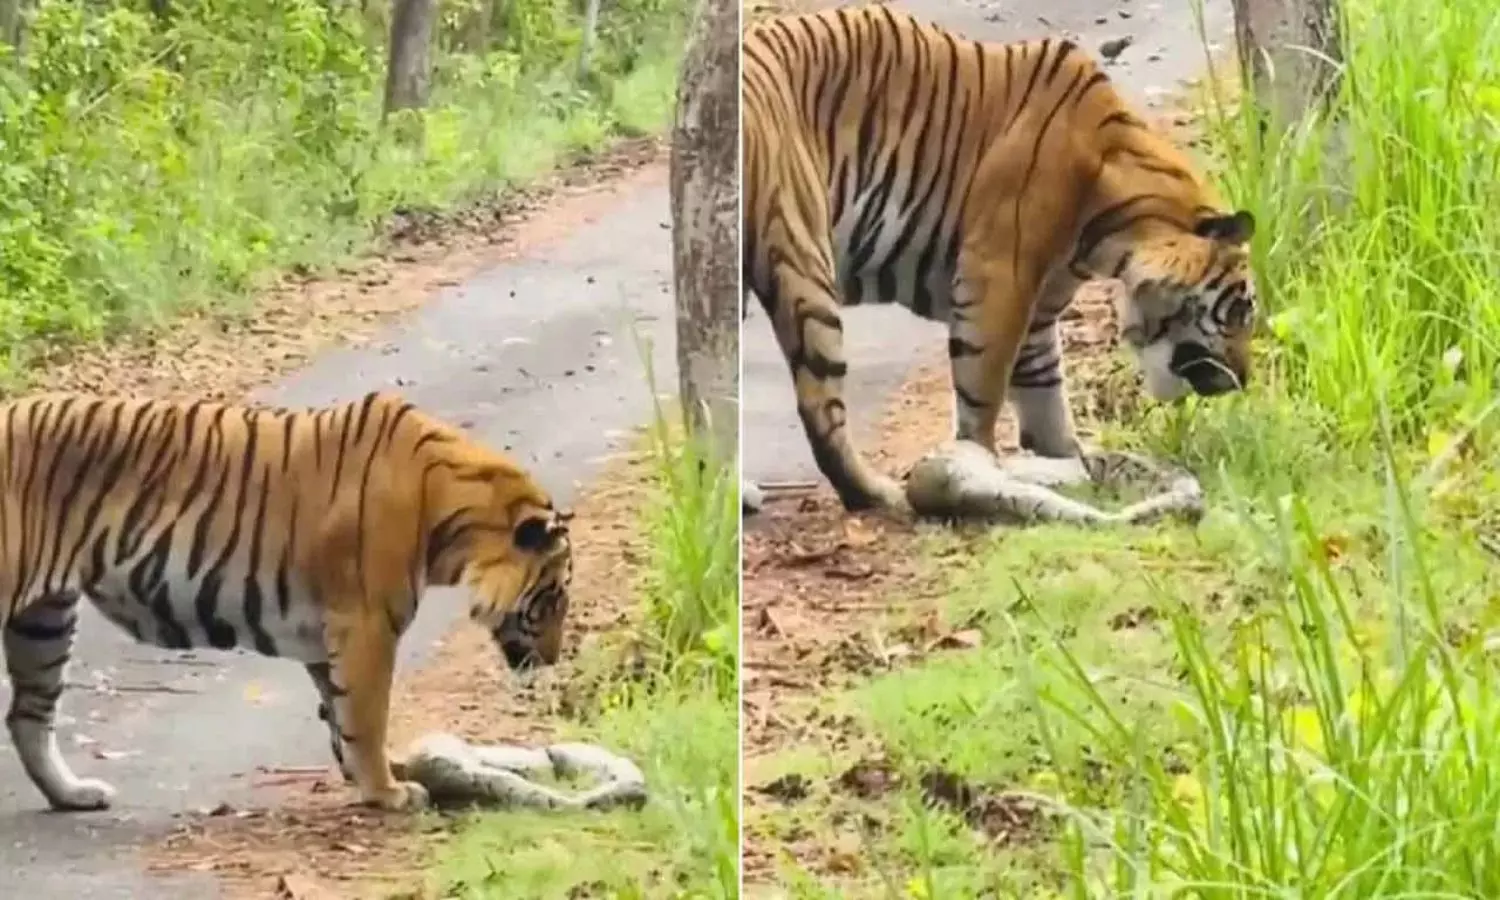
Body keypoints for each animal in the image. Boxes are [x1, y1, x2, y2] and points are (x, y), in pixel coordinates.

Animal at [0, 391, 573, 813]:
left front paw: (374, 777)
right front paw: (388, 793)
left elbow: (342, 715)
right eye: (553, 598)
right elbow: (368, 715)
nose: (552, 658)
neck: (452, 511)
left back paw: (74, 795)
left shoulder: (329, 637)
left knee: (28, 717)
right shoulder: (367, 625)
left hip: (45, 621)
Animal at [741, 5, 1259, 513]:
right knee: (821, 410)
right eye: (1237, 311)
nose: (1244, 381)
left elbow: (1045, 395)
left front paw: (1069, 461)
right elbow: (984, 392)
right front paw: (980, 465)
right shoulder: (996, 279)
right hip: (805, 261)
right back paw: (875, 493)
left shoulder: (1039, 314)